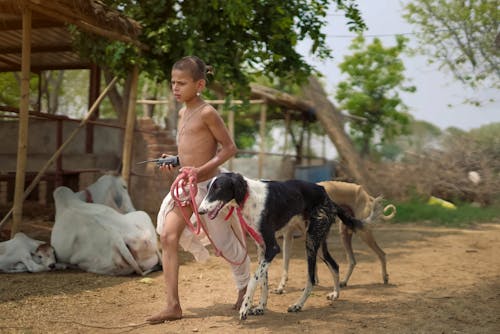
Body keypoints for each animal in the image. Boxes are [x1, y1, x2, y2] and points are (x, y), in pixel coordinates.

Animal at [198, 174, 368, 320]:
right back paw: (335, 294)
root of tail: (327, 196)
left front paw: (245, 307)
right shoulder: (262, 248)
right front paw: (260, 307)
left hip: (311, 242)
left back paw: (298, 305)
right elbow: (263, 282)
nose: (200, 211)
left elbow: (254, 280)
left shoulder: (273, 248)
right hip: (317, 242)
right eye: (208, 188)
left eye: (218, 188)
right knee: (334, 265)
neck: (248, 196)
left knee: (311, 279)